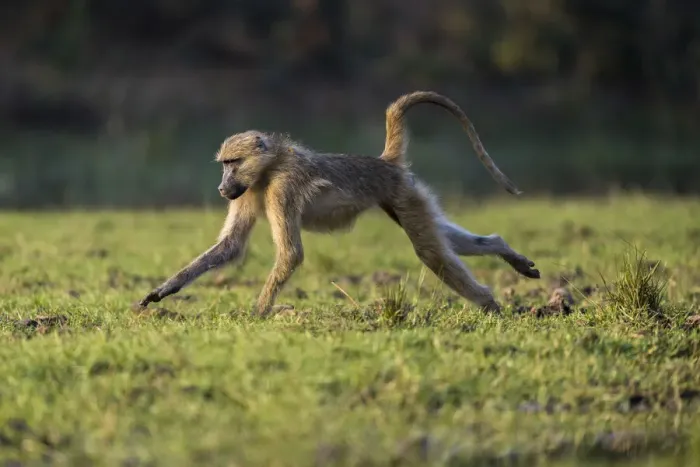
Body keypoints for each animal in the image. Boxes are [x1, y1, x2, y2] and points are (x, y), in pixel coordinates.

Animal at [138, 91, 540, 316]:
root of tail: (384, 162)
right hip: (406, 195)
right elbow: (230, 246)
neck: (268, 169)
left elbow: (291, 255)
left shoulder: (281, 189)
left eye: (232, 162)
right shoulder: (248, 192)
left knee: (431, 252)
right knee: (444, 240)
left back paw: (491, 306)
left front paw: (259, 313)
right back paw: (506, 256)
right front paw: (163, 291)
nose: (222, 188)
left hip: (401, 193)